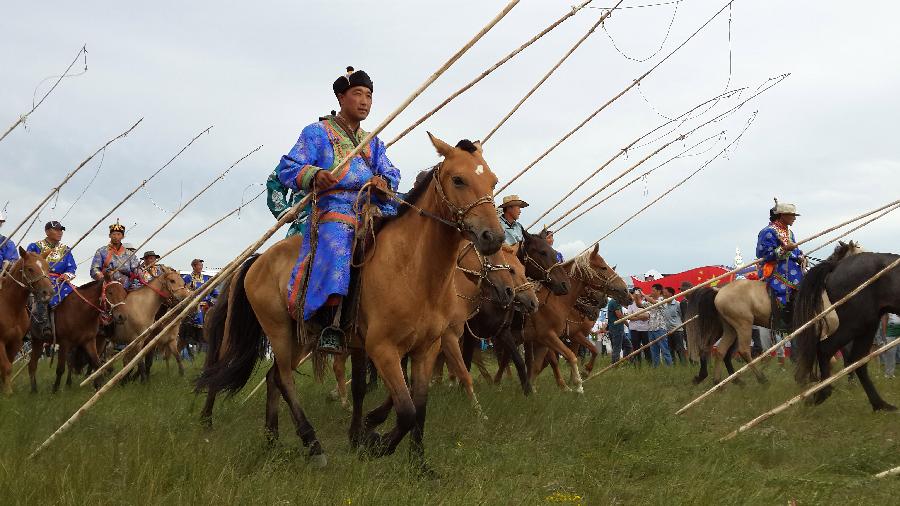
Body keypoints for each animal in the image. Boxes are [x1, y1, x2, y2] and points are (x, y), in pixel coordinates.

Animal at [0, 247, 53, 394]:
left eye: (47, 267)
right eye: (30, 269)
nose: (48, 292)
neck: (10, 305)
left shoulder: (15, 342)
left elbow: (8, 366)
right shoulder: (0, 342)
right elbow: (6, 367)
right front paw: (8, 393)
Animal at [197, 134, 506, 470]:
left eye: (493, 180)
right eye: (458, 180)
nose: (493, 236)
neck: (413, 269)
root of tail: (259, 259)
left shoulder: (427, 348)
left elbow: (419, 407)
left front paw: (419, 464)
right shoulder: (382, 349)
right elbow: (407, 411)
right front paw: (375, 443)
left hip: (300, 337)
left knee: (273, 377)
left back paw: (272, 439)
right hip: (278, 330)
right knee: (285, 379)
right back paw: (313, 444)